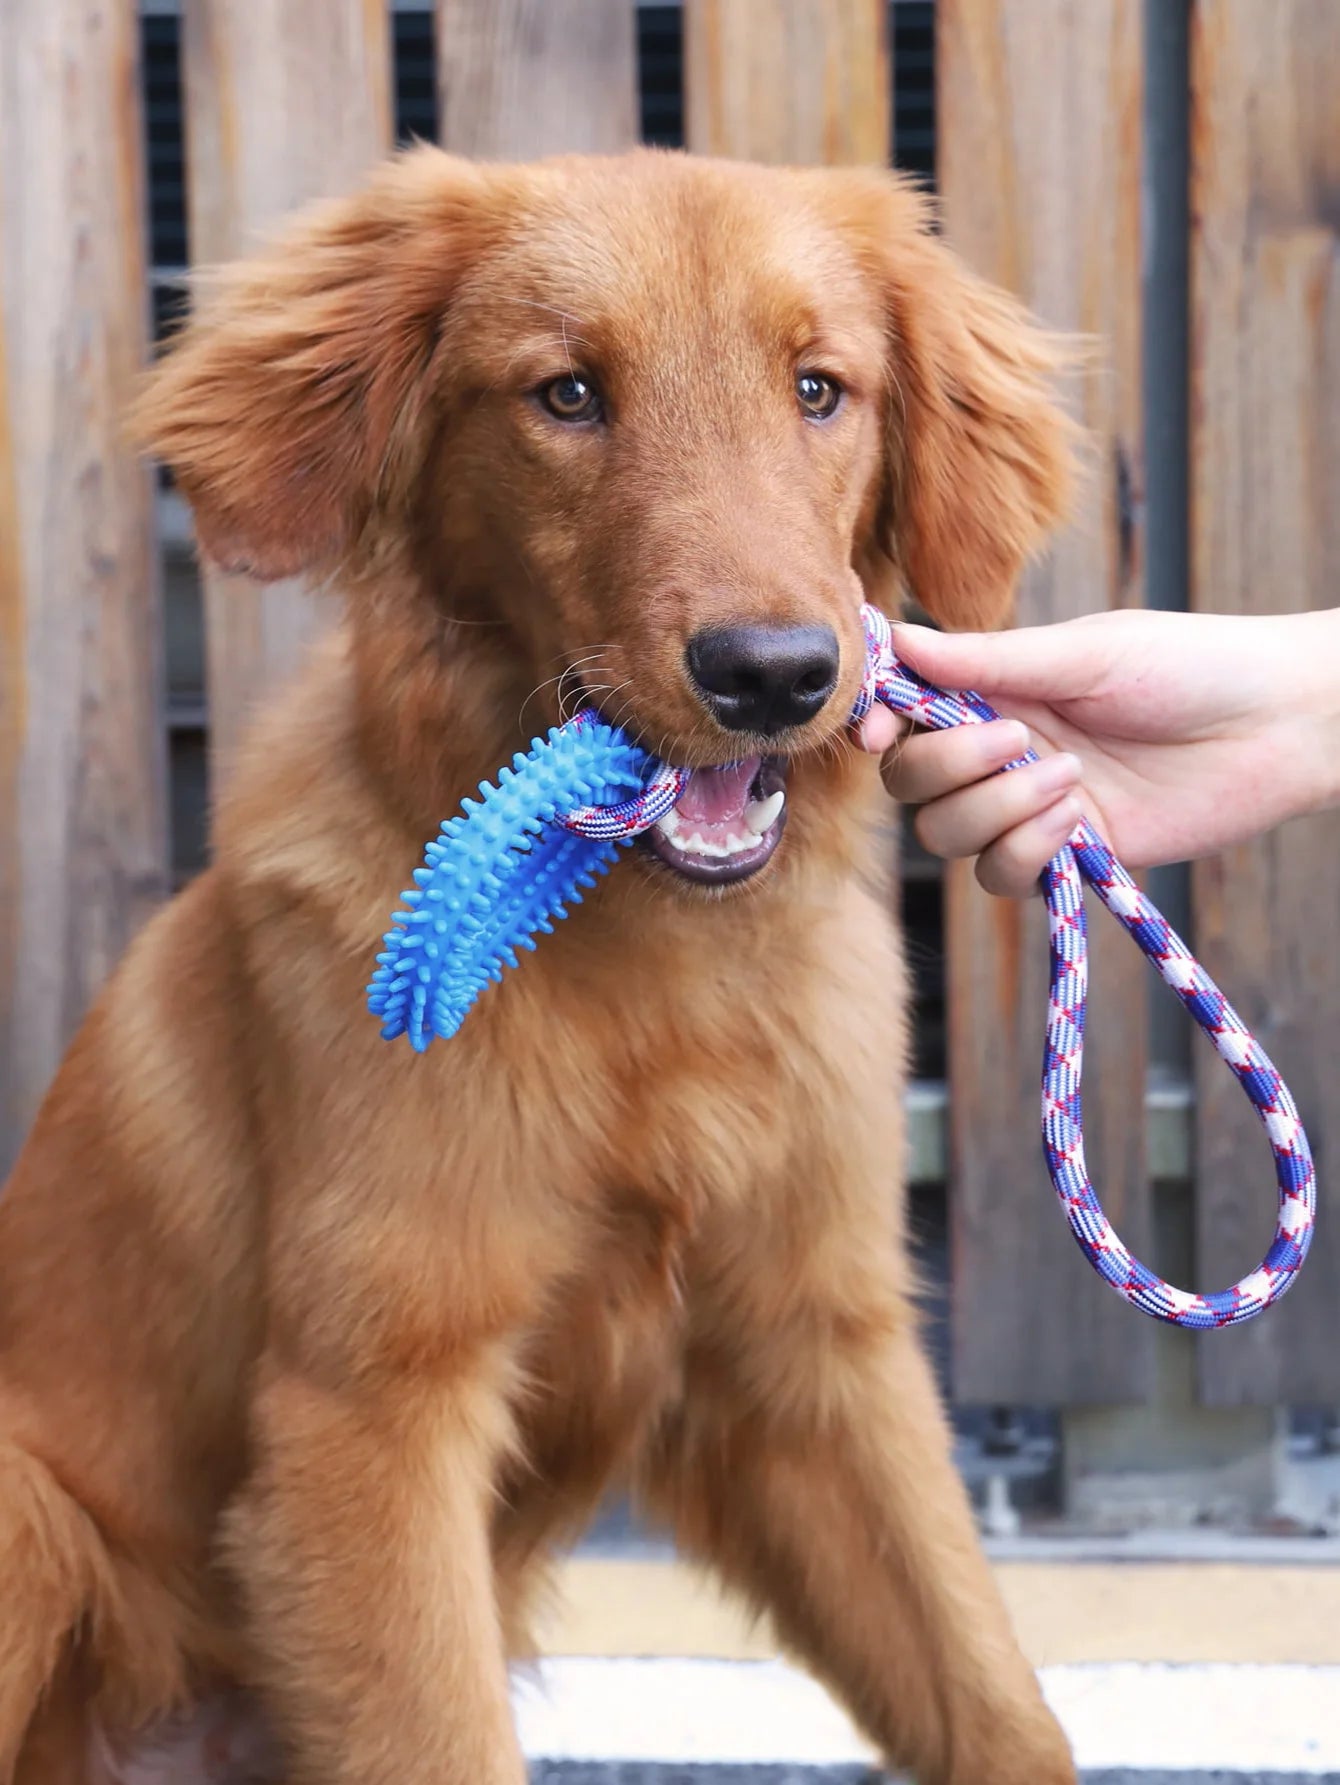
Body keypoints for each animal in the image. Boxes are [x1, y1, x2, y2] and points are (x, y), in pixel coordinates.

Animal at [0, 153, 1077, 1785]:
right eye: (567, 394)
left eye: (819, 389)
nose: (773, 675)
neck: (654, 975)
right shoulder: (374, 1406)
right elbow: (433, 1731)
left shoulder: (814, 1360)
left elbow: (993, 1701)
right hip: (32, 1519)